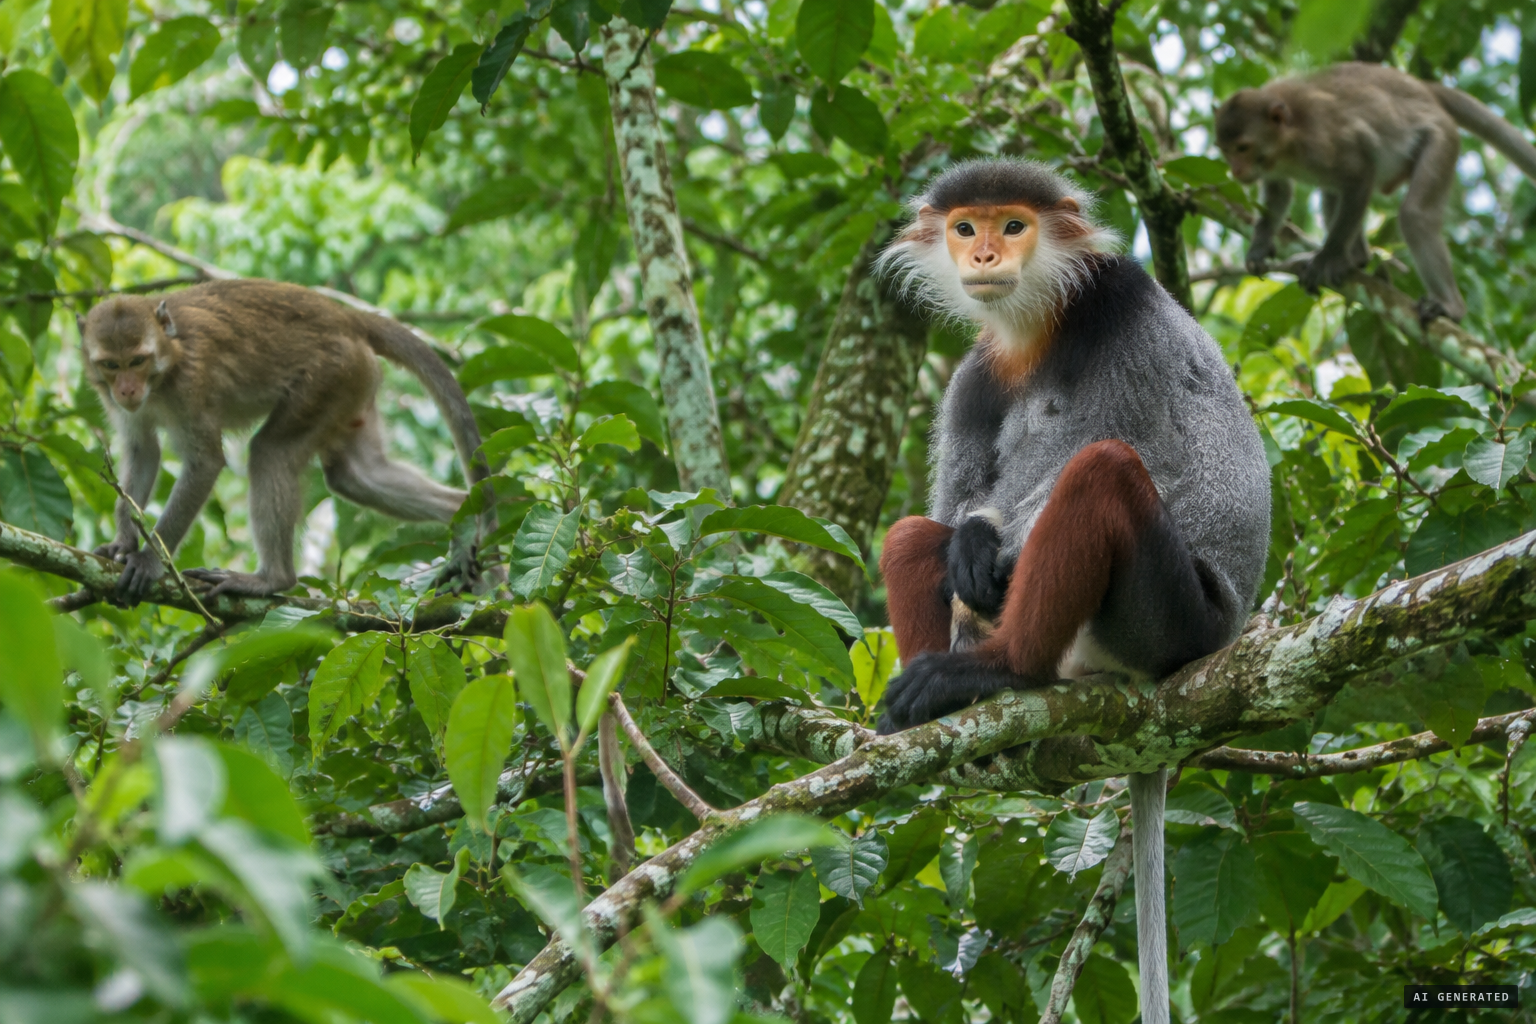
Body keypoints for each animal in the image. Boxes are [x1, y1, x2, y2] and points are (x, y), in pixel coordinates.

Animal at [80, 279, 491, 603]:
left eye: (137, 361)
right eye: (111, 365)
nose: (127, 390)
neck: (167, 363)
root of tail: (347, 318)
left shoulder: (190, 385)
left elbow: (205, 463)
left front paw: (150, 561)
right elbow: (143, 452)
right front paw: (123, 543)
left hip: (329, 377)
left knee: (270, 452)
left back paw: (271, 580)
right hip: (355, 383)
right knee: (355, 476)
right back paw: (459, 513)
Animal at [871, 159, 1271, 1024]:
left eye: (1013, 225)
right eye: (965, 227)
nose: (985, 255)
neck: (1036, 327)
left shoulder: (1120, 302)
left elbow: (1120, 442)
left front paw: (987, 543)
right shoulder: (976, 371)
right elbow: (954, 500)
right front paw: (968, 540)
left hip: (1168, 620)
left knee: (1104, 469)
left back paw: (995, 672)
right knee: (913, 535)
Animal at [1215, 62, 1536, 323]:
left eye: (1242, 148)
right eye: (1226, 151)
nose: (1237, 171)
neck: (1285, 144)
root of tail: (1421, 87)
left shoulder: (1321, 141)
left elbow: (1361, 171)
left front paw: (1328, 258)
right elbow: (1279, 191)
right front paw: (1259, 246)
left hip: (1443, 138)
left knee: (1414, 216)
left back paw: (1450, 306)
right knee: (1332, 192)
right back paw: (1355, 258)